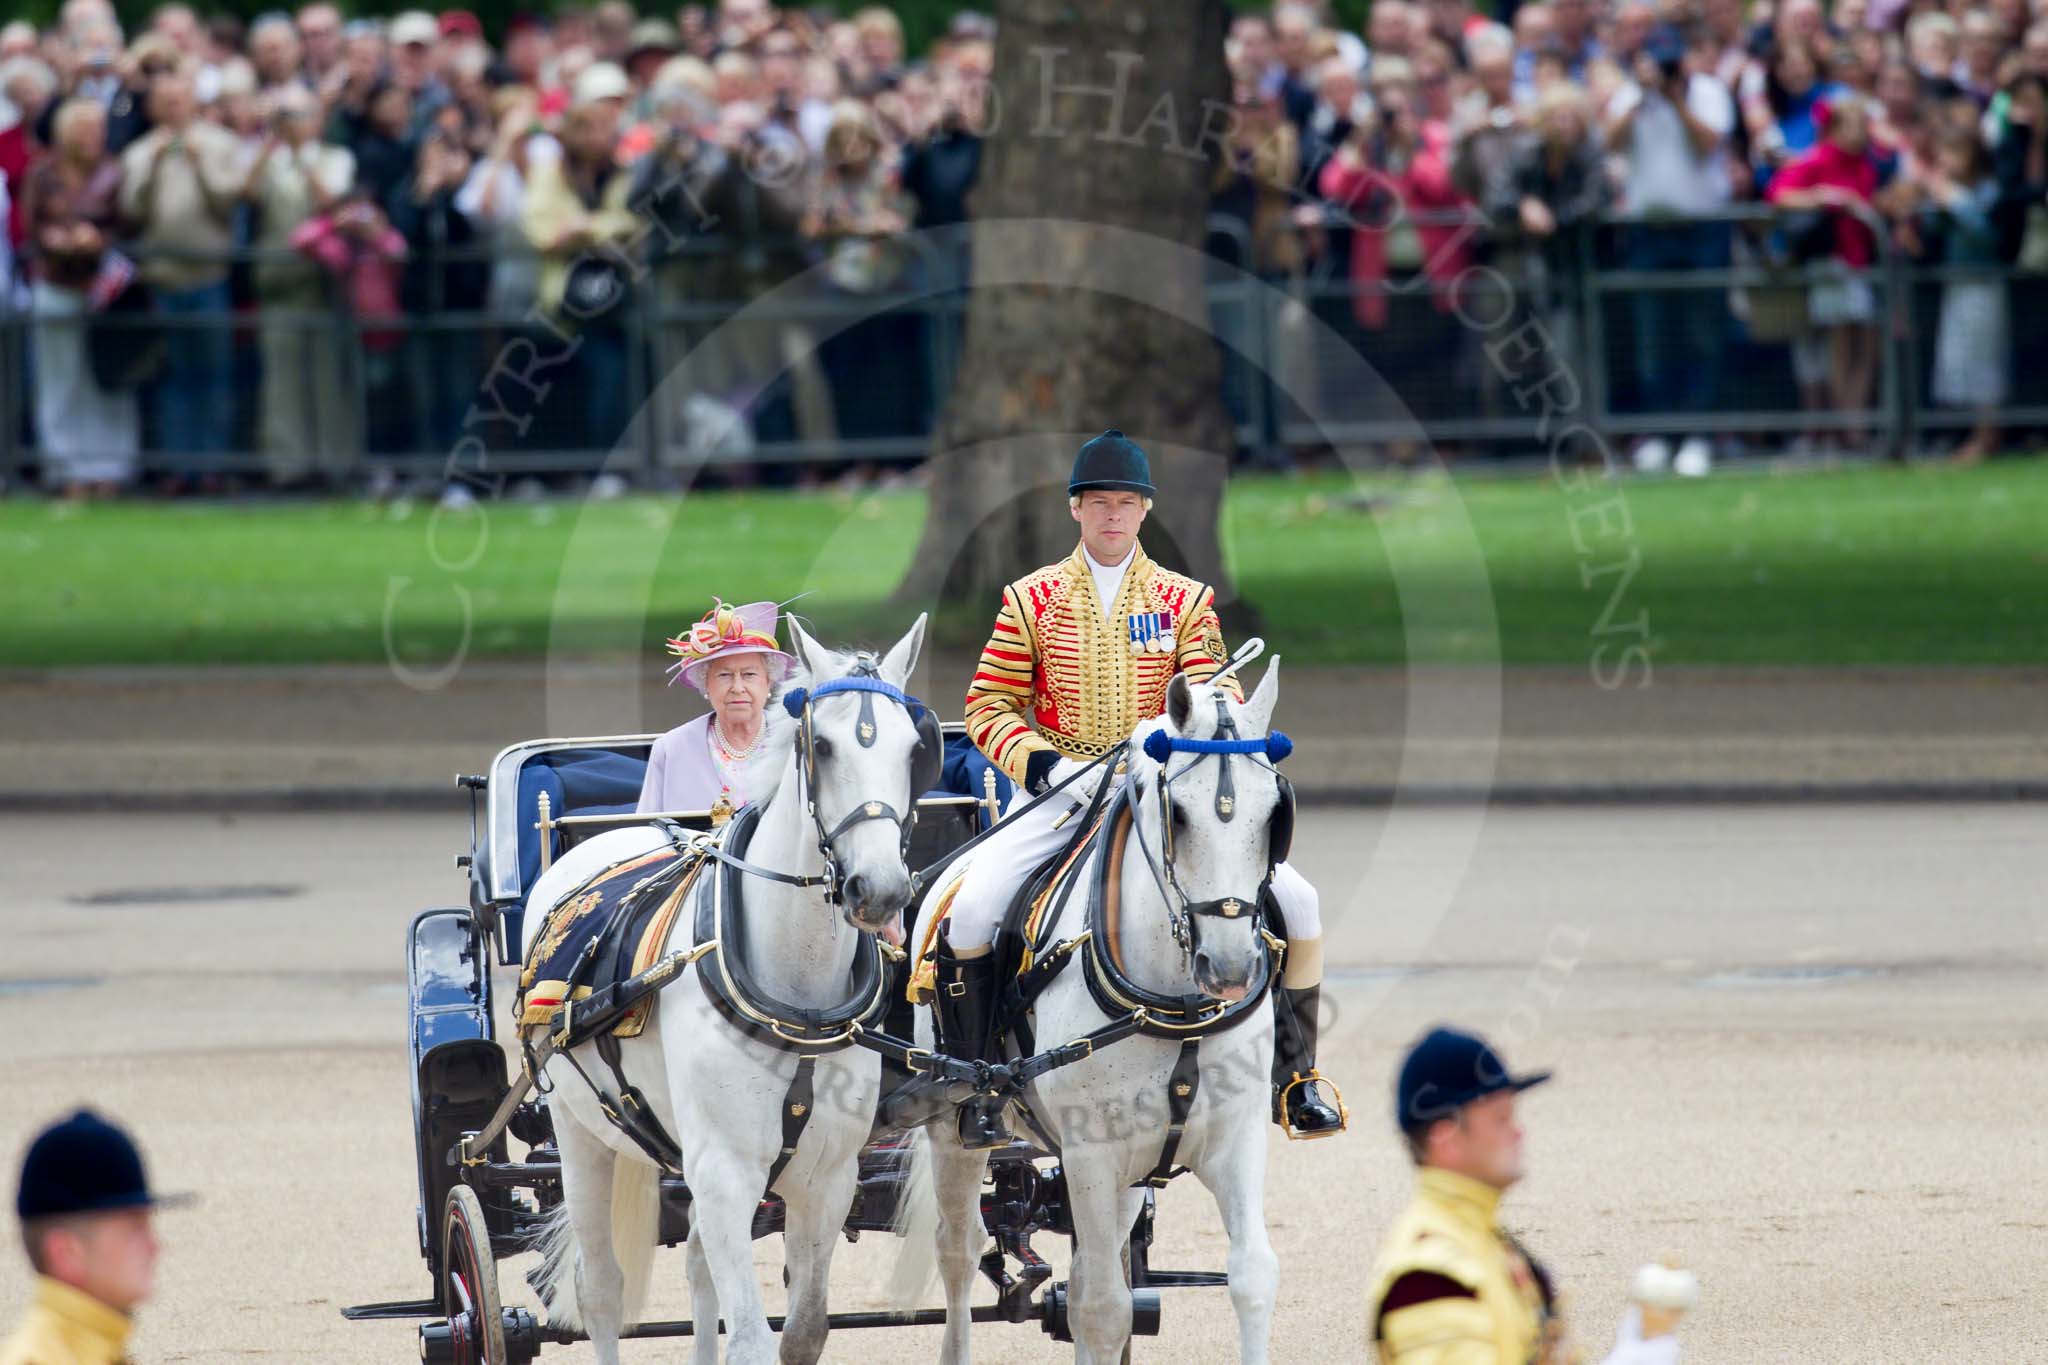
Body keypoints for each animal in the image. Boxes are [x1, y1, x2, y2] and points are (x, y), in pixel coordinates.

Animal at [528, 618, 937, 1365]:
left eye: (916, 749)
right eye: (822, 745)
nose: (881, 890)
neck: (796, 989)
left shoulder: (827, 1179)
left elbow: (802, 1329)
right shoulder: (723, 1170)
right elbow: (748, 1336)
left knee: (696, 1269)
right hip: (579, 1130)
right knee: (600, 1287)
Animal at [892, 663, 1286, 1358]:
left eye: (1273, 814)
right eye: (1178, 814)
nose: (1230, 968)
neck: (1175, 1001)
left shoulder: (1231, 1140)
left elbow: (1250, 1276)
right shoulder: (1091, 1155)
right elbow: (1104, 1309)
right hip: (956, 1131)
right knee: (959, 1252)